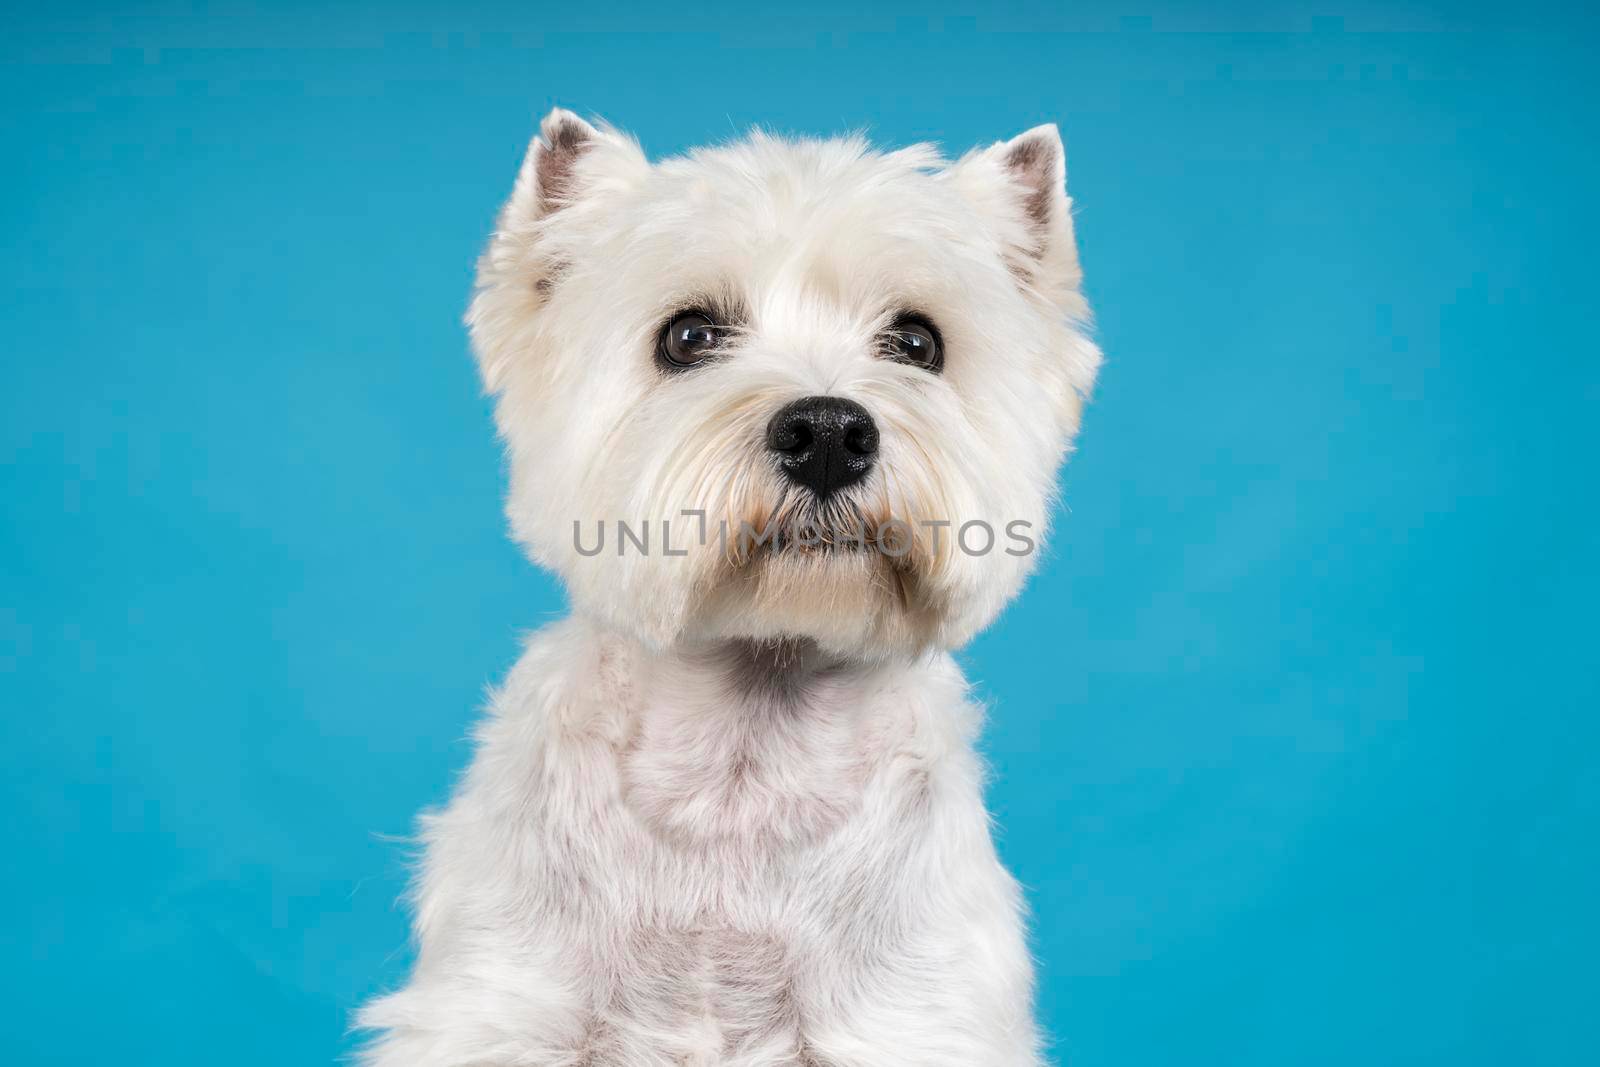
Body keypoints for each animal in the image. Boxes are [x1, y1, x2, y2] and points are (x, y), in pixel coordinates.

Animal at [358, 103, 1100, 1062]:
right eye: (687, 336)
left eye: (917, 341)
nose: (828, 433)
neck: (745, 762)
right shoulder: (506, 1004)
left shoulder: (910, 1016)